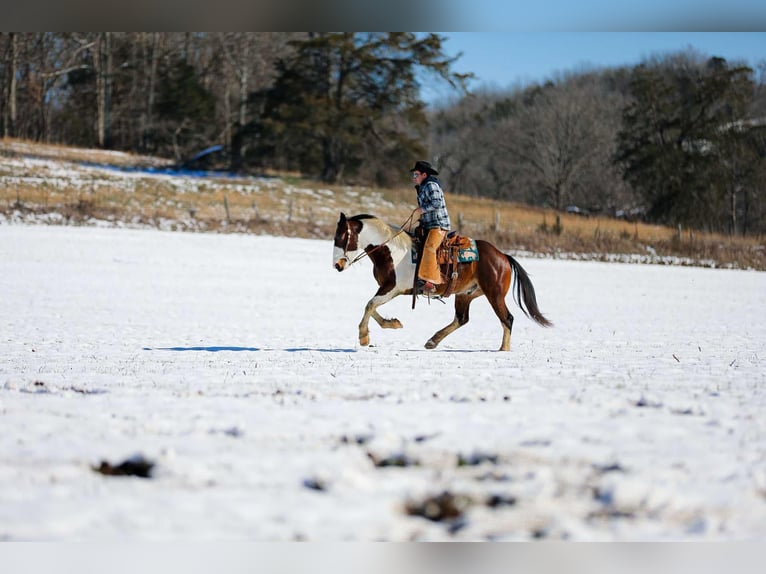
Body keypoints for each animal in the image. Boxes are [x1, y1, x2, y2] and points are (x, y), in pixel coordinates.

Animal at [332, 214, 556, 354]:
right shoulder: (389, 289)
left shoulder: (392, 288)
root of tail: (503, 256)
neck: (392, 251)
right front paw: (393, 323)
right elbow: (372, 307)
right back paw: (433, 341)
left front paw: (363, 336)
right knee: (461, 318)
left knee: (507, 318)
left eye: (343, 237)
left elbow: (370, 304)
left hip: (495, 294)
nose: (337, 265)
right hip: (466, 294)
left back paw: (503, 349)